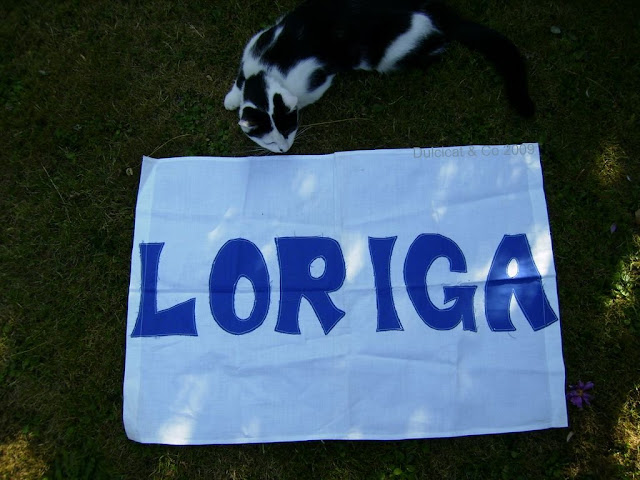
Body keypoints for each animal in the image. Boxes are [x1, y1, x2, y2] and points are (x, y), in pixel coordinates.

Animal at [224, 0, 534, 153]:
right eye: (269, 141)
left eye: (288, 132)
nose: (285, 149)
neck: (268, 69)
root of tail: (441, 14)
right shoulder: (255, 46)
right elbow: (240, 81)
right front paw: (232, 98)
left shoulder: (316, 78)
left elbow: (305, 95)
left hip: (393, 53)